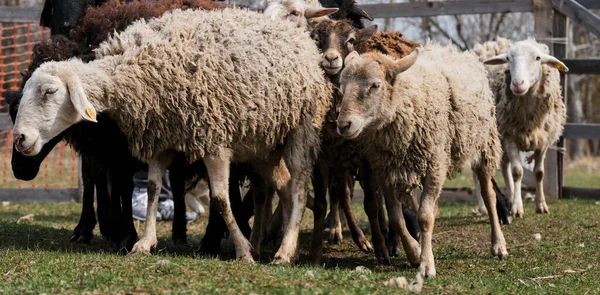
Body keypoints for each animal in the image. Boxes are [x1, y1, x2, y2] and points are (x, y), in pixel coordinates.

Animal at [10, 7, 332, 266]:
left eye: (49, 91)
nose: (20, 139)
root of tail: (298, 36)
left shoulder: (213, 138)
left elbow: (220, 199)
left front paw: (242, 251)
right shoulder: (160, 138)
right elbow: (153, 188)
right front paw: (144, 243)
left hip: (301, 130)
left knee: (298, 187)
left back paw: (284, 251)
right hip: (265, 145)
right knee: (285, 188)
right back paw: (281, 244)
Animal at [338, 42, 506, 278]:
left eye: (375, 85)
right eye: (342, 86)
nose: (343, 124)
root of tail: (455, 51)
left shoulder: (435, 165)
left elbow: (424, 217)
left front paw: (426, 265)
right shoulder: (385, 171)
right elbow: (396, 217)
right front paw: (414, 253)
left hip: (484, 145)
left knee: (488, 195)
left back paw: (498, 245)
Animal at [474, 37, 568, 217]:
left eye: (538, 58)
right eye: (508, 59)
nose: (517, 83)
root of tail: (490, 44)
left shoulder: (543, 140)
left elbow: (539, 173)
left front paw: (541, 205)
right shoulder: (509, 136)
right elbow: (517, 171)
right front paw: (517, 208)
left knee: (505, 167)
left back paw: (510, 198)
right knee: (480, 173)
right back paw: (482, 207)